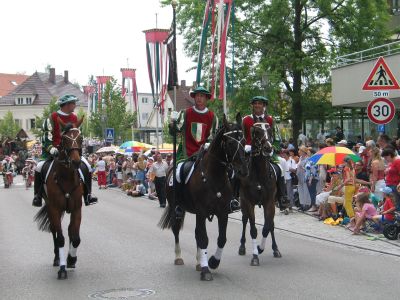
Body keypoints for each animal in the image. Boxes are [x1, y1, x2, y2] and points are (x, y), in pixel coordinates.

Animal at [34, 116, 84, 278]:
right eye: (64, 138)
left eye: (81, 138)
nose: (76, 162)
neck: (66, 177)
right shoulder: (55, 208)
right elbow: (60, 238)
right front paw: (62, 268)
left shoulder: (77, 209)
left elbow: (75, 238)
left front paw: (71, 259)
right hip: (51, 208)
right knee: (55, 231)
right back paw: (57, 259)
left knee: (68, 230)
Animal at [159, 113, 247, 282]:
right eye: (230, 142)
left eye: (244, 141)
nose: (243, 170)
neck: (214, 176)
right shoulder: (201, 211)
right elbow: (204, 238)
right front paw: (206, 269)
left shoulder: (222, 212)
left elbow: (221, 239)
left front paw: (212, 262)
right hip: (176, 208)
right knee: (176, 229)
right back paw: (179, 257)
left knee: (196, 234)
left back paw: (199, 261)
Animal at [238, 123, 282, 266]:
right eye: (257, 132)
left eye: (270, 130)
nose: (268, 148)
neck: (259, 175)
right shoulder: (249, 202)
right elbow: (253, 229)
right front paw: (255, 256)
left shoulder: (269, 202)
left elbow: (267, 227)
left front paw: (260, 248)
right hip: (243, 203)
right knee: (245, 220)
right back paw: (242, 247)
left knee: (271, 224)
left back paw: (276, 249)